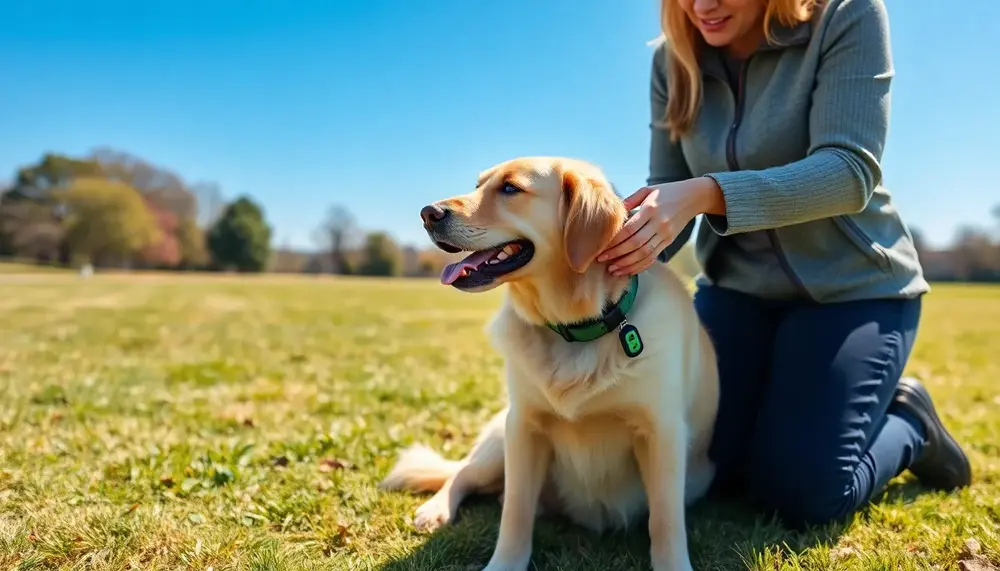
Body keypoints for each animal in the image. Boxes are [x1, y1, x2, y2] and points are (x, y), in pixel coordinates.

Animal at [380, 156, 720, 571]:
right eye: (478, 185)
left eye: (510, 188)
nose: (428, 213)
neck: (575, 329)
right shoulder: (523, 426)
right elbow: (515, 511)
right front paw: (503, 564)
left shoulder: (662, 433)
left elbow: (666, 521)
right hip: (499, 439)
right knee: (462, 473)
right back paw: (436, 509)